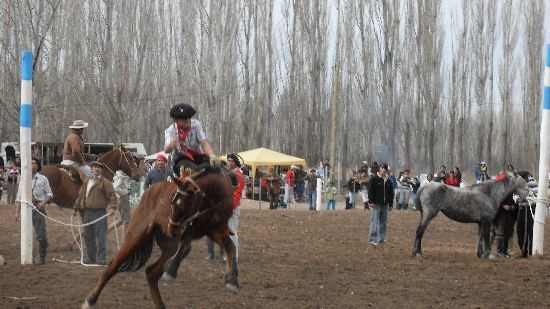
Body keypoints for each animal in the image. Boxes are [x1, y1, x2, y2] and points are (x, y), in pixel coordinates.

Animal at [82, 165, 239, 308]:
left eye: (187, 206)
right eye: (173, 203)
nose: (172, 228)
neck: (215, 198)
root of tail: (150, 191)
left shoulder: (217, 230)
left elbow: (230, 247)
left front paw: (232, 281)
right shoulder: (190, 228)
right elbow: (186, 243)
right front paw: (171, 271)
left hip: (169, 245)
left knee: (151, 273)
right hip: (136, 235)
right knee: (113, 266)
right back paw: (90, 300)